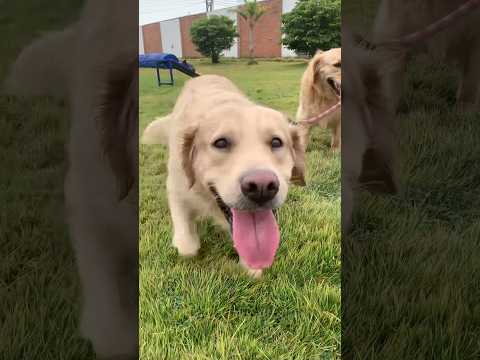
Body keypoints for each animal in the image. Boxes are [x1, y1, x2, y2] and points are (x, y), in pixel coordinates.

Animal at [142, 75, 304, 278]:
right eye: (221, 143)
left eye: (276, 142)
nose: (261, 187)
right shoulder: (176, 187)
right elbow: (187, 246)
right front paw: (187, 242)